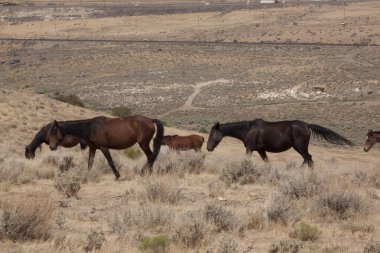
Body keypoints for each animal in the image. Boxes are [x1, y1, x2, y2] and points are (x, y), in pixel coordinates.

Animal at [208, 118, 354, 166]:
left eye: (212, 134)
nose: (208, 148)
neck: (247, 129)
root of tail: (307, 126)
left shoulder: (250, 148)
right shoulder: (261, 150)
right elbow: (267, 162)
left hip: (300, 147)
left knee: (308, 158)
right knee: (309, 159)